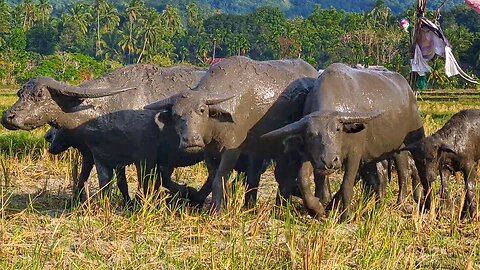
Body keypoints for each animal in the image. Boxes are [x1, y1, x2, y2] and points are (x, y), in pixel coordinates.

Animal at [2, 63, 207, 202]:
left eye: (39, 95)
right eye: (20, 94)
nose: (7, 117)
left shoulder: (145, 158)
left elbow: (147, 184)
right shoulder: (102, 158)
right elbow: (107, 183)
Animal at [146, 56, 318, 211]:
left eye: (202, 110)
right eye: (176, 115)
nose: (191, 140)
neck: (218, 122)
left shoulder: (232, 149)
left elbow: (220, 178)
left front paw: (218, 210)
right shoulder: (209, 151)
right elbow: (215, 177)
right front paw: (222, 205)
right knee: (261, 175)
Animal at [262, 63, 424, 221]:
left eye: (338, 129)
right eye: (310, 134)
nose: (329, 161)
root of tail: (408, 89)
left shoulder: (354, 154)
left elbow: (347, 185)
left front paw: (345, 215)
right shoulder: (310, 155)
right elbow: (305, 181)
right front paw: (318, 209)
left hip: (415, 136)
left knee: (409, 169)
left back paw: (409, 200)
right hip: (394, 149)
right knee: (394, 172)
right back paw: (387, 203)